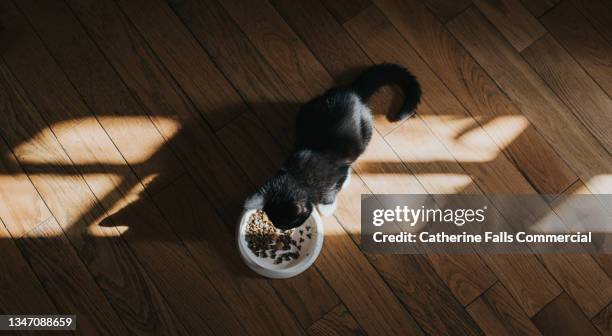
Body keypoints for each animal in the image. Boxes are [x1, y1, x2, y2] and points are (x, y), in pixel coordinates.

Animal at [244, 63, 420, 230]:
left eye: (290, 223)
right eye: (276, 224)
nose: (282, 229)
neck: (298, 177)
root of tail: (351, 92)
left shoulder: (337, 173)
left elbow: (333, 191)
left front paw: (328, 208)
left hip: (366, 130)